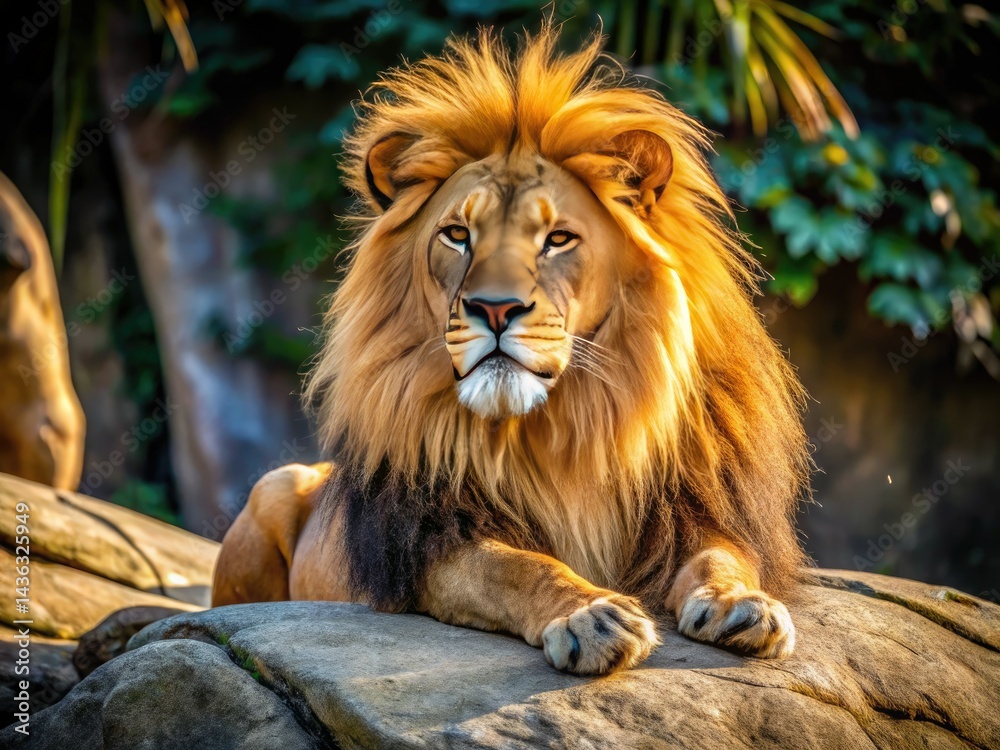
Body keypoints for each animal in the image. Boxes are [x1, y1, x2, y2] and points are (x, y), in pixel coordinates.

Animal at [212, 26, 811, 675]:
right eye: (457, 234)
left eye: (558, 239)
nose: (495, 309)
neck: (573, 425)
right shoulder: (432, 539)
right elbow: (516, 567)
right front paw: (590, 615)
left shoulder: (702, 508)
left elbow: (719, 557)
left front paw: (740, 605)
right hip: (275, 488)